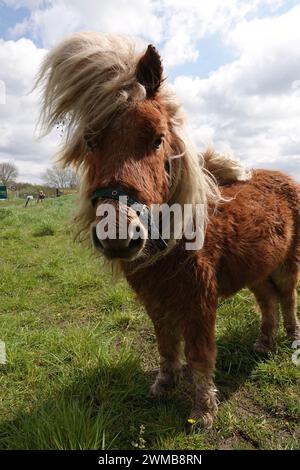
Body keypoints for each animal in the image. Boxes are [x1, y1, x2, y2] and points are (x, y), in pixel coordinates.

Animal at [37, 32, 300, 430]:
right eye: (90, 142)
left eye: (158, 139)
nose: (118, 235)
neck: (177, 240)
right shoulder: (155, 301)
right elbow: (166, 345)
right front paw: (164, 385)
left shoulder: (200, 303)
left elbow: (200, 354)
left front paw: (203, 411)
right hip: (257, 270)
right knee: (267, 301)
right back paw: (265, 343)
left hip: (287, 267)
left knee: (287, 299)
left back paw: (291, 340)